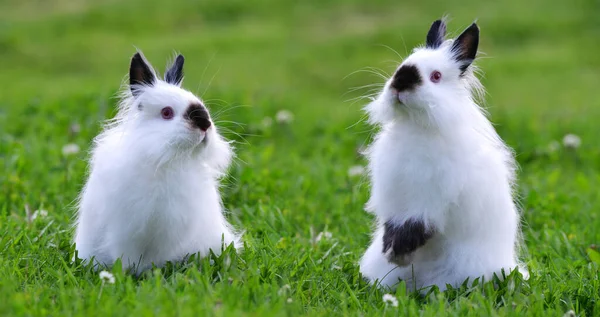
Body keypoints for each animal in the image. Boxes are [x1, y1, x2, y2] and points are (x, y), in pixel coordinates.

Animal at [75, 50, 241, 272]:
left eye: (201, 103)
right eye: (166, 113)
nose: (205, 124)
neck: (167, 159)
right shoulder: (126, 230)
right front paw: (130, 272)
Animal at [358, 19, 528, 292]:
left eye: (435, 76)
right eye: (402, 64)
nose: (399, 84)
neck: (418, 126)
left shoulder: (432, 200)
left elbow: (419, 226)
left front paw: (398, 254)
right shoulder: (395, 198)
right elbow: (393, 225)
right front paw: (392, 253)